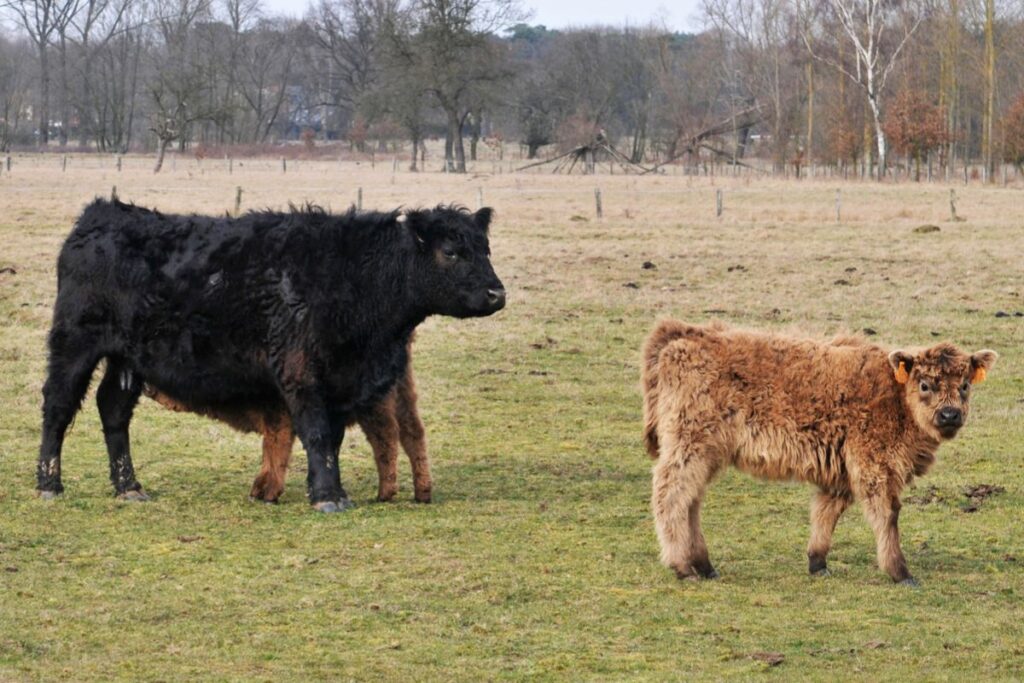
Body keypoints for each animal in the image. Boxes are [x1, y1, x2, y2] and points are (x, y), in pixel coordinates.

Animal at [146, 350, 430, 505]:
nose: (148, 385)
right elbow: (270, 452)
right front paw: (260, 490)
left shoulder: (278, 420)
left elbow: (275, 452)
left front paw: (267, 493)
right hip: (403, 393)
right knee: (413, 433)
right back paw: (422, 493)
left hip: (373, 404)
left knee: (386, 437)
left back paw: (385, 493)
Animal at [643, 323, 995, 585]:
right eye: (925, 385)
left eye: (965, 385)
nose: (949, 414)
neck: (895, 396)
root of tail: (686, 336)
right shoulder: (874, 466)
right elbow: (887, 514)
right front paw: (901, 572)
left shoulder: (841, 471)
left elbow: (826, 512)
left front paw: (818, 562)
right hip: (690, 446)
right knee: (670, 494)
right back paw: (682, 567)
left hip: (705, 453)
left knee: (691, 501)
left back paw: (704, 565)